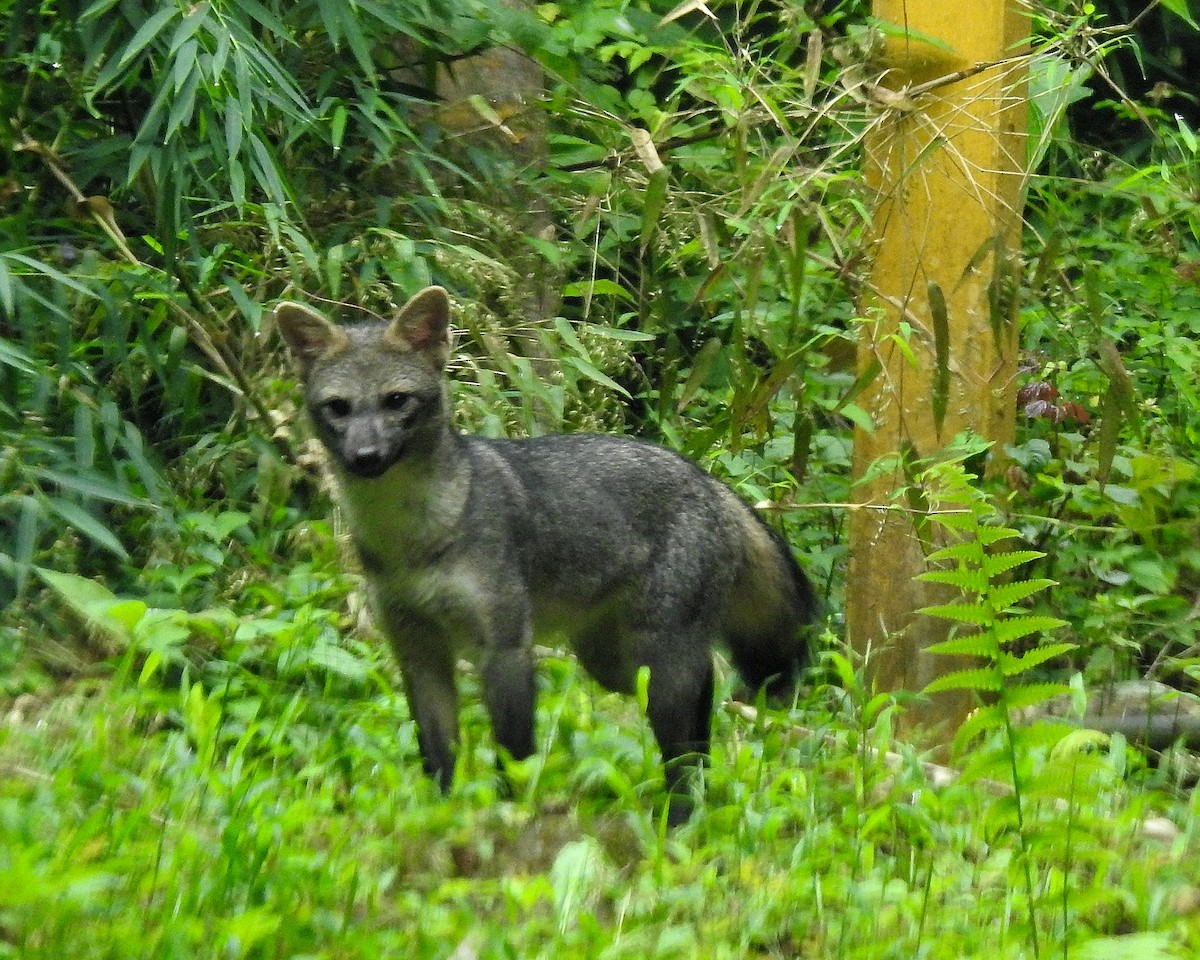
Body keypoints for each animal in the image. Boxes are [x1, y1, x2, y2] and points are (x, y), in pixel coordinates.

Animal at [275, 285, 817, 821]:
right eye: (339, 407)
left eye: (396, 401)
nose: (365, 457)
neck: (416, 541)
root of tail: (710, 481)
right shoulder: (417, 651)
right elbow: (438, 758)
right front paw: (442, 817)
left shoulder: (506, 645)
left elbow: (514, 755)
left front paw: (512, 815)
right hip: (613, 665)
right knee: (706, 700)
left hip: (659, 664)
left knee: (689, 730)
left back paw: (681, 818)